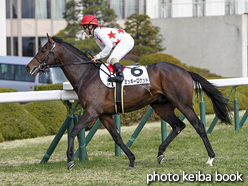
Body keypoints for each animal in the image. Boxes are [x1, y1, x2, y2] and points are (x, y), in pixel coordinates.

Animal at [25, 33, 231, 170]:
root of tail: (185, 71)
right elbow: (117, 137)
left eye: (43, 49)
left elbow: (74, 131)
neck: (87, 75)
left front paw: (69, 160)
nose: (29, 67)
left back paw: (210, 158)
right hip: (161, 106)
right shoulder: (104, 114)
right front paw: (131, 160)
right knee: (178, 125)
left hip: (183, 103)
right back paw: (160, 154)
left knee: (198, 126)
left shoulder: (91, 112)